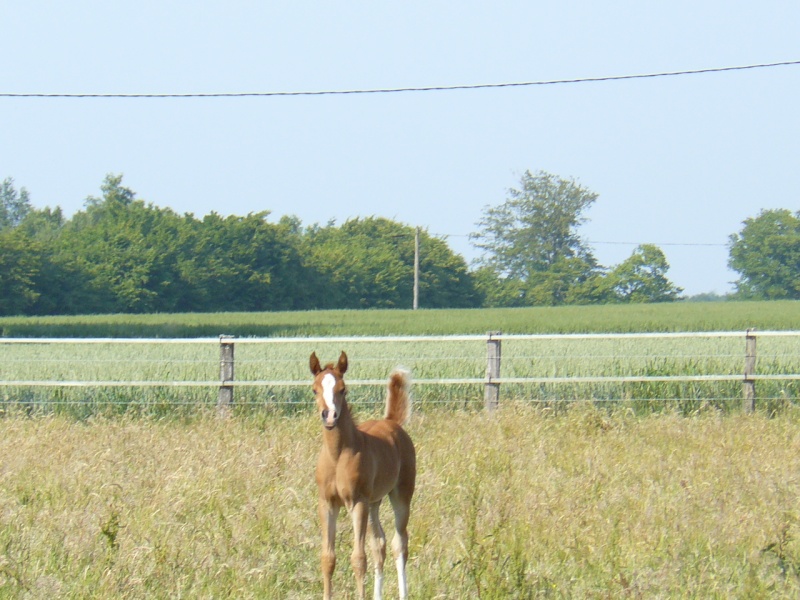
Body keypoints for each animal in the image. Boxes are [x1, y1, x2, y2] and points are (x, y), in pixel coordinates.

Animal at [310, 352, 416, 600]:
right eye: (314, 390)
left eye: (343, 389)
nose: (330, 416)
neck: (338, 456)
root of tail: (391, 422)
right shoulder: (327, 503)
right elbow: (327, 558)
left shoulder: (357, 502)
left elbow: (358, 559)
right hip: (374, 502)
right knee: (379, 544)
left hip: (401, 496)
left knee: (400, 543)